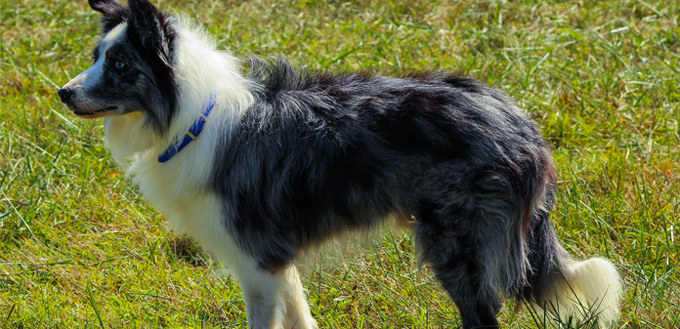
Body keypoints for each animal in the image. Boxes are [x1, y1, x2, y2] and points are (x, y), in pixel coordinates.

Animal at [58, 1, 620, 326]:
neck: (190, 115)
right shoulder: (275, 262)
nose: (62, 93)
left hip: (456, 247)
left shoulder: (255, 263)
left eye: (120, 65)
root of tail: (521, 125)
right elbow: (301, 318)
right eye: (96, 55)